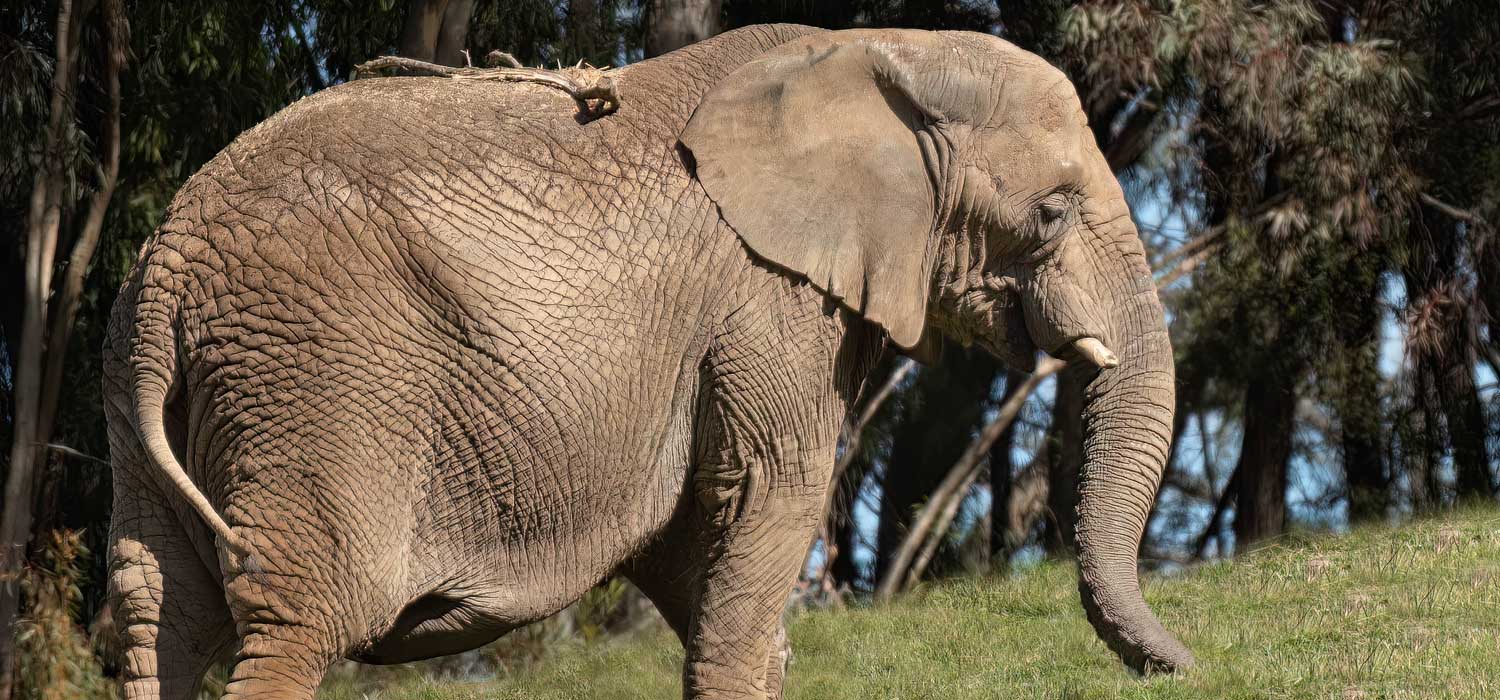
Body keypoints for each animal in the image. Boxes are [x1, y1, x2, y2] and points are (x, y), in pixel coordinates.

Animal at [105, 21, 1194, 700]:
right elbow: (767, 489)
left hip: (159, 390)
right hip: (321, 381)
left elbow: (691, 545)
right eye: (1051, 213)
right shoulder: (765, 297)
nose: (1184, 668)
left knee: (160, 612)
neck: (879, 50)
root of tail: (168, 268)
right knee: (298, 614)